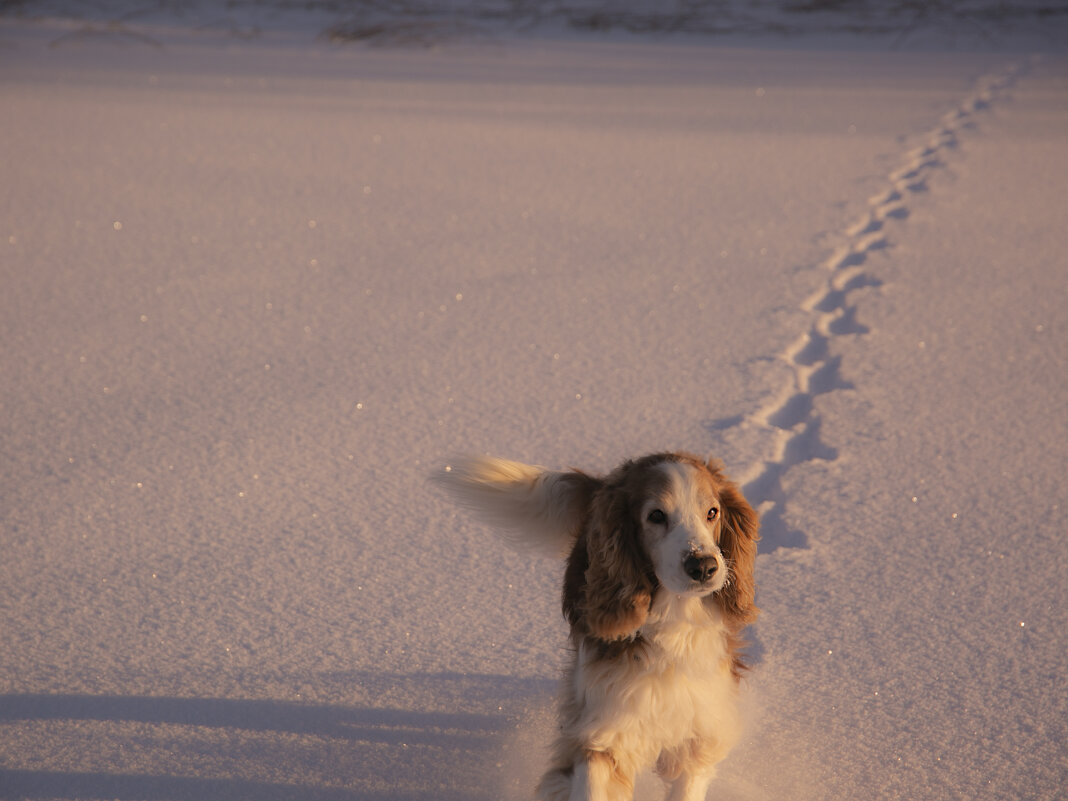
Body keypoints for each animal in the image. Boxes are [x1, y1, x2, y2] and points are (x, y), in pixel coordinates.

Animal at [435, 452, 760, 801]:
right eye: (656, 515)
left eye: (712, 512)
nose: (703, 566)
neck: (673, 623)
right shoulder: (604, 726)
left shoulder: (699, 734)